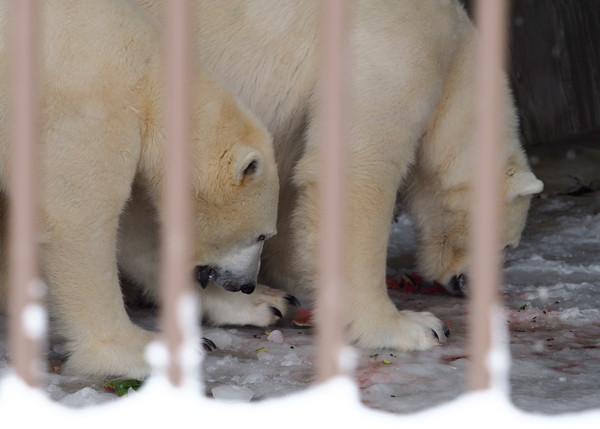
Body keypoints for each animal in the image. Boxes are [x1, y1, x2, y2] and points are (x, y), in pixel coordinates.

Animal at [0, 0, 282, 376]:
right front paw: (142, 348)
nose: (246, 285)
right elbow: (79, 218)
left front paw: (270, 302)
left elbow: (137, 230)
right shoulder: (87, 107)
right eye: (262, 235)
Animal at [135, 0, 544, 352]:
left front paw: (293, 272)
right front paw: (412, 326)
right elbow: (358, 170)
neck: (456, 53)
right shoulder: (398, 45)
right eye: (509, 245)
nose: (474, 287)